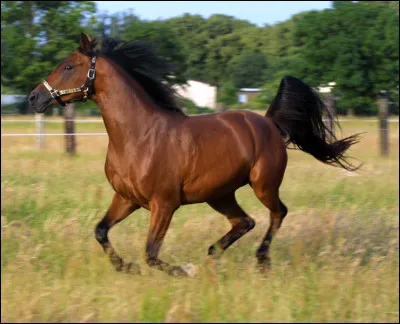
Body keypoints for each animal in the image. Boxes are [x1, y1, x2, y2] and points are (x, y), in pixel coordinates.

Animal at [28, 32, 360, 276]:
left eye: (68, 66)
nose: (34, 97)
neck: (138, 137)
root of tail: (269, 123)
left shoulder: (164, 204)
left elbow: (151, 253)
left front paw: (183, 270)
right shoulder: (126, 199)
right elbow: (101, 231)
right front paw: (126, 267)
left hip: (263, 184)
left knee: (278, 213)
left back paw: (261, 260)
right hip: (220, 194)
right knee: (245, 222)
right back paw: (213, 255)